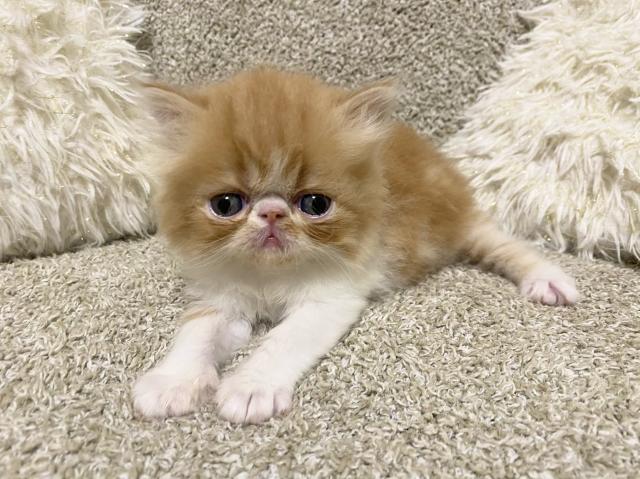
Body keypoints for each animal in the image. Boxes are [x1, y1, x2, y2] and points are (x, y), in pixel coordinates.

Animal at [133, 67, 578, 424]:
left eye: (315, 204)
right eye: (226, 204)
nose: (272, 213)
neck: (271, 274)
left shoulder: (331, 298)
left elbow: (283, 340)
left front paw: (250, 387)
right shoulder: (221, 297)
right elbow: (196, 334)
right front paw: (172, 382)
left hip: (463, 225)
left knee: (504, 243)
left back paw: (548, 280)